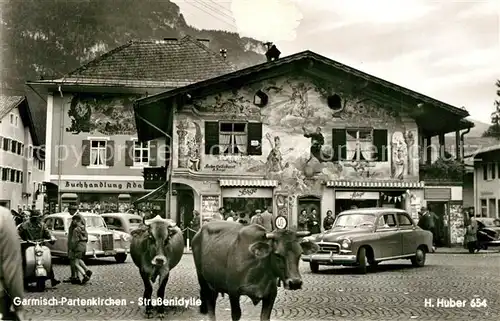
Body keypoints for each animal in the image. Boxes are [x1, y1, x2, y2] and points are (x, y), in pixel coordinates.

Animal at [189, 220, 318, 320]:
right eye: (277, 255)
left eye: (300, 253)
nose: (295, 282)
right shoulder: (233, 292)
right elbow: (236, 315)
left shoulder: (271, 294)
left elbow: (265, 316)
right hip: (203, 280)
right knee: (210, 305)